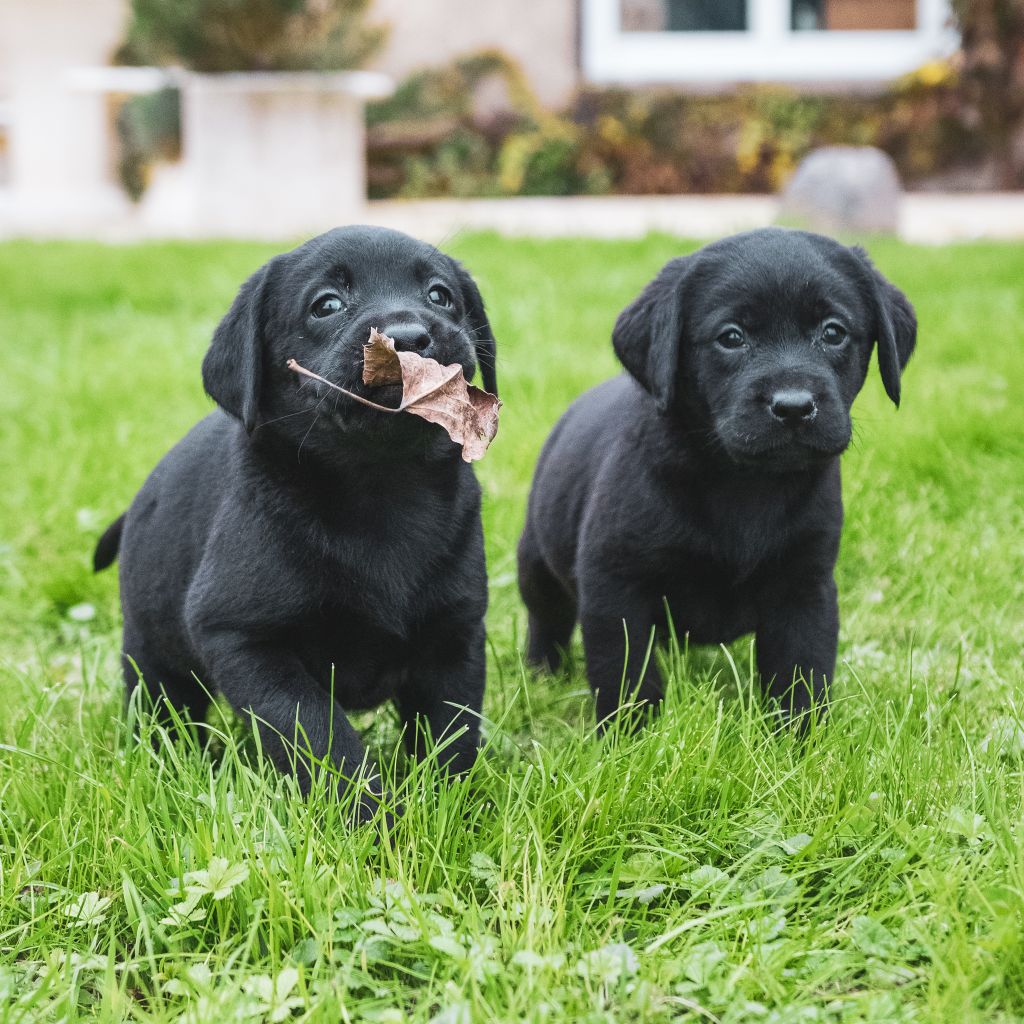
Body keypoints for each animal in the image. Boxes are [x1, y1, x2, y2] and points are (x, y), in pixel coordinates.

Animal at [93, 226, 499, 815]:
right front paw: (370, 818)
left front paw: (449, 808)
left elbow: (451, 732)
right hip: (152, 650)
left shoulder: (454, 633)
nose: (409, 336)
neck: (382, 486)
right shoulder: (244, 639)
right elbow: (319, 733)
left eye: (440, 296)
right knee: (163, 708)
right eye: (326, 305)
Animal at [520, 228, 921, 724]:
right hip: (535, 561)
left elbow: (801, 673)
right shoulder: (615, 584)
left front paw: (800, 737)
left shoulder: (805, 588)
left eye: (833, 332)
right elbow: (627, 674)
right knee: (547, 618)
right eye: (731, 337)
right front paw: (631, 734)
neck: (743, 482)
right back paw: (542, 676)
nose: (793, 405)